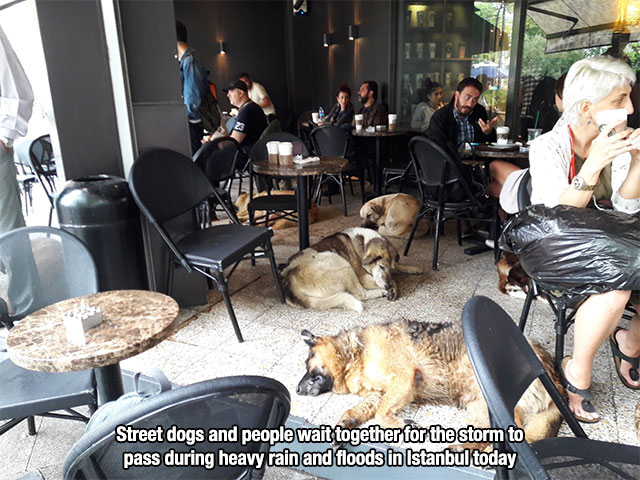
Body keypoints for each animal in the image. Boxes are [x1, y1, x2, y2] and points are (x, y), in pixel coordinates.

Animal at [280, 226, 420, 312]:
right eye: (381, 267)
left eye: (390, 268)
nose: (387, 286)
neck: (363, 243)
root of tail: (289, 288)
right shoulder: (363, 278)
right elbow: (394, 281)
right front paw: (393, 290)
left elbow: (400, 267)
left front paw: (413, 269)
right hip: (341, 264)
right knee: (361, 294)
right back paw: (382, 292)